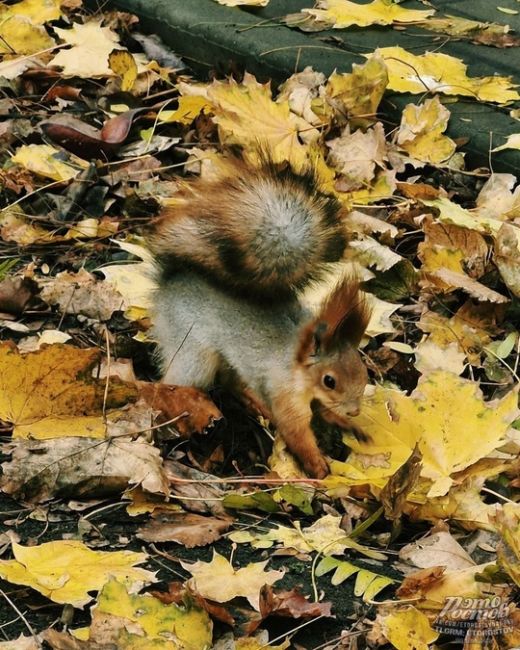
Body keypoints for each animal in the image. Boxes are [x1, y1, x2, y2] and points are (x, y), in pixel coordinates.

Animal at [148, 152, 372, 476]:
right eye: (329, 380)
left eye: (364, 371)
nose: (355, 410)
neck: (297, 366)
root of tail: (170, 280)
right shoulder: (285, 395)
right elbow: (297, 433)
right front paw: (318, 468)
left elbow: (325, 413)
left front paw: (350, 425)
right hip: (192, 351)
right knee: (170, 383)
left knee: (231, 380)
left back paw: (254, 402)